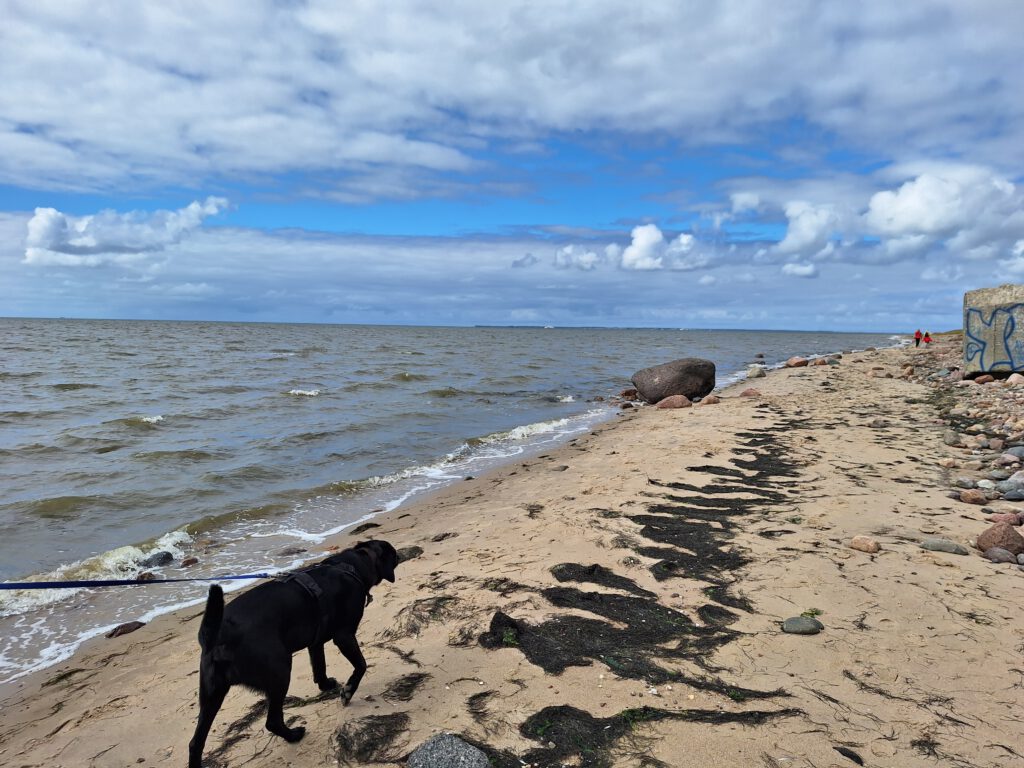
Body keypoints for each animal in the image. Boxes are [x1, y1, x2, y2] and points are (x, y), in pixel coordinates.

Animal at [190, 540, 397, 768]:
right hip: (280, 672)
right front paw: (348, 691)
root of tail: (219, 634)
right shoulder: (344, 636)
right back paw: (293, 735)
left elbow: (319, 665)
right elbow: (361, 665)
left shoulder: (316, 642)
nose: (399, 556)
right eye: (394, 555)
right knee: (272, 721)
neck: (352, 565)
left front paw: (325, 685)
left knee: (195, 743)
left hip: (211, 694)